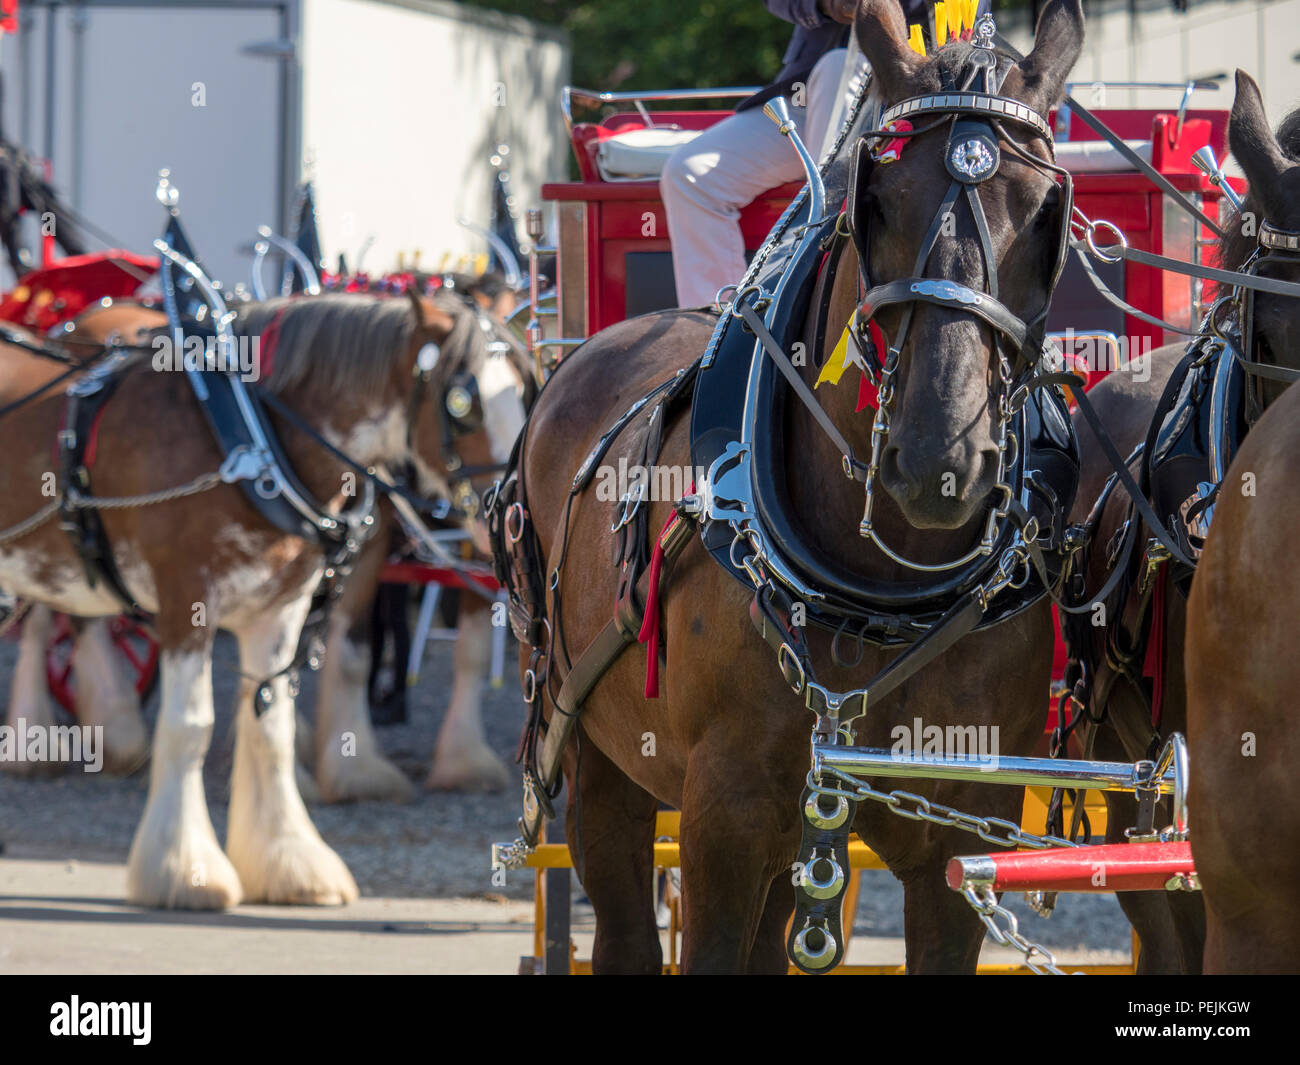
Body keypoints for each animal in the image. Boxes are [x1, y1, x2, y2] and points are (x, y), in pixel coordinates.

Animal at [0, 290, 469, 907]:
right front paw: (183, 871)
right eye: (463, 402)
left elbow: (270, 730)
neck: (251, 432)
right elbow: (190, 726)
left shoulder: (281, 607)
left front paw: (292, 864)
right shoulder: (185, 597)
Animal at [496, 0, 1086, 972]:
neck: (877, 599)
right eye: (874, 199)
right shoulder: (723, 824)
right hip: (598, 761)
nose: (940, 459)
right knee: (623, 928)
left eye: (1046, 213)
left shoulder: (962, 830)